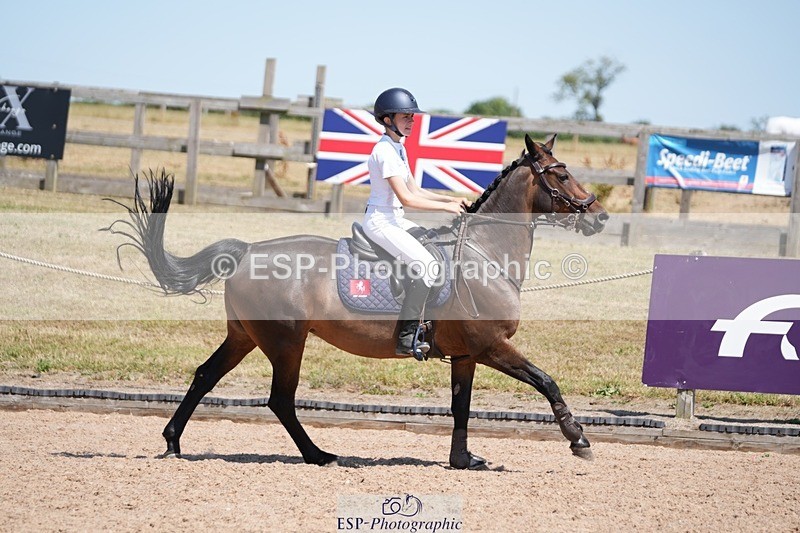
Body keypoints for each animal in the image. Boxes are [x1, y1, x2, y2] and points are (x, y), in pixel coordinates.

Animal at [107, 133, 608, 469]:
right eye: (561, 174)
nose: (599, 216)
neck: (486, 254)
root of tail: (247, 251)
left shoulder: (467, 355)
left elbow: (461, 407)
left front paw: (463, 460)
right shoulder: (491, 346)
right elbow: (546, 381)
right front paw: (578, 439)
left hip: (245, 336)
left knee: (205, 376)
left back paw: (173, 442)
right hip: (285, 342)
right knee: (280, 399)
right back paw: (319, 455)